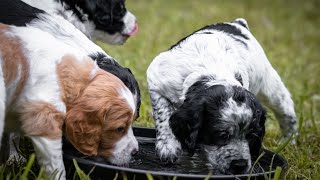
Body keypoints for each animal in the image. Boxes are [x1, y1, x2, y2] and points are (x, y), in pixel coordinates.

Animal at [147, 18, 298, 174]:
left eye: (251, 136)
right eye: (221, 135)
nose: (239, 165)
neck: (212, 72)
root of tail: (237, 23)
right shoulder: (156, 80)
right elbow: (163, 114)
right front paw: (168, 146)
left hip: (268, 84)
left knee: (286, 109)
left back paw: (289, 141)